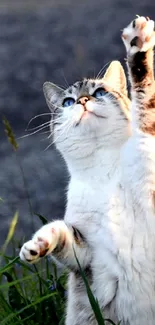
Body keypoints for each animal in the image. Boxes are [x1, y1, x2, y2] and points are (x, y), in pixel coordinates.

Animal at [19, 15, 155, 324]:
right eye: (68, 102)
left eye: (99, 92)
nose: (82, 101)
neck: (102, 168)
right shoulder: (88, 255)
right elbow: (62, 233)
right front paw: (37, 244)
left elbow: (145, 102)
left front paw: (138, 45)